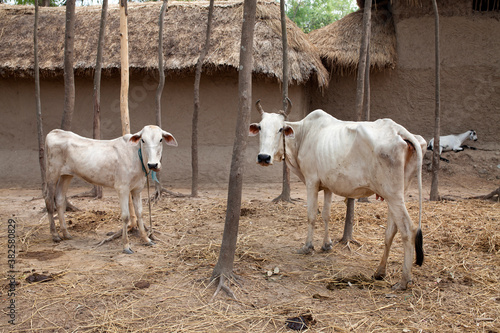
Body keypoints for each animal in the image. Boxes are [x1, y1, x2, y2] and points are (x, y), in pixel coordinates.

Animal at [44, 124, 178, 252]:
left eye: (160, 139)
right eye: (143, 140)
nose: (153, 164)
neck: (137, 158)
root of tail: (55, 132)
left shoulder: (137, 188)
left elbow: (139, 213)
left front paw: (146, 239)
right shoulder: (122, 188)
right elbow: (125, 216)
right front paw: (126, 246)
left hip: (66, 175)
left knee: (60, 199)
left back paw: (66, 233)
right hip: (52, 173)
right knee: (49, 200)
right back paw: (55, 235)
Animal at [249, 100, 426, 288]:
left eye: (281, 129)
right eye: (260, 127)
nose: (263, 157)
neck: (304, 134)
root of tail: (400, 130)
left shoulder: (311, 181)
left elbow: (312, 216)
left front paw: (307, 246)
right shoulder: (327, 185)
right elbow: (326, 215)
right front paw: (326, 245)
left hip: (393, 195)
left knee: (408, 229)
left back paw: (404, 280)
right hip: (397, 194)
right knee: (391, 230)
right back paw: (380, 272)